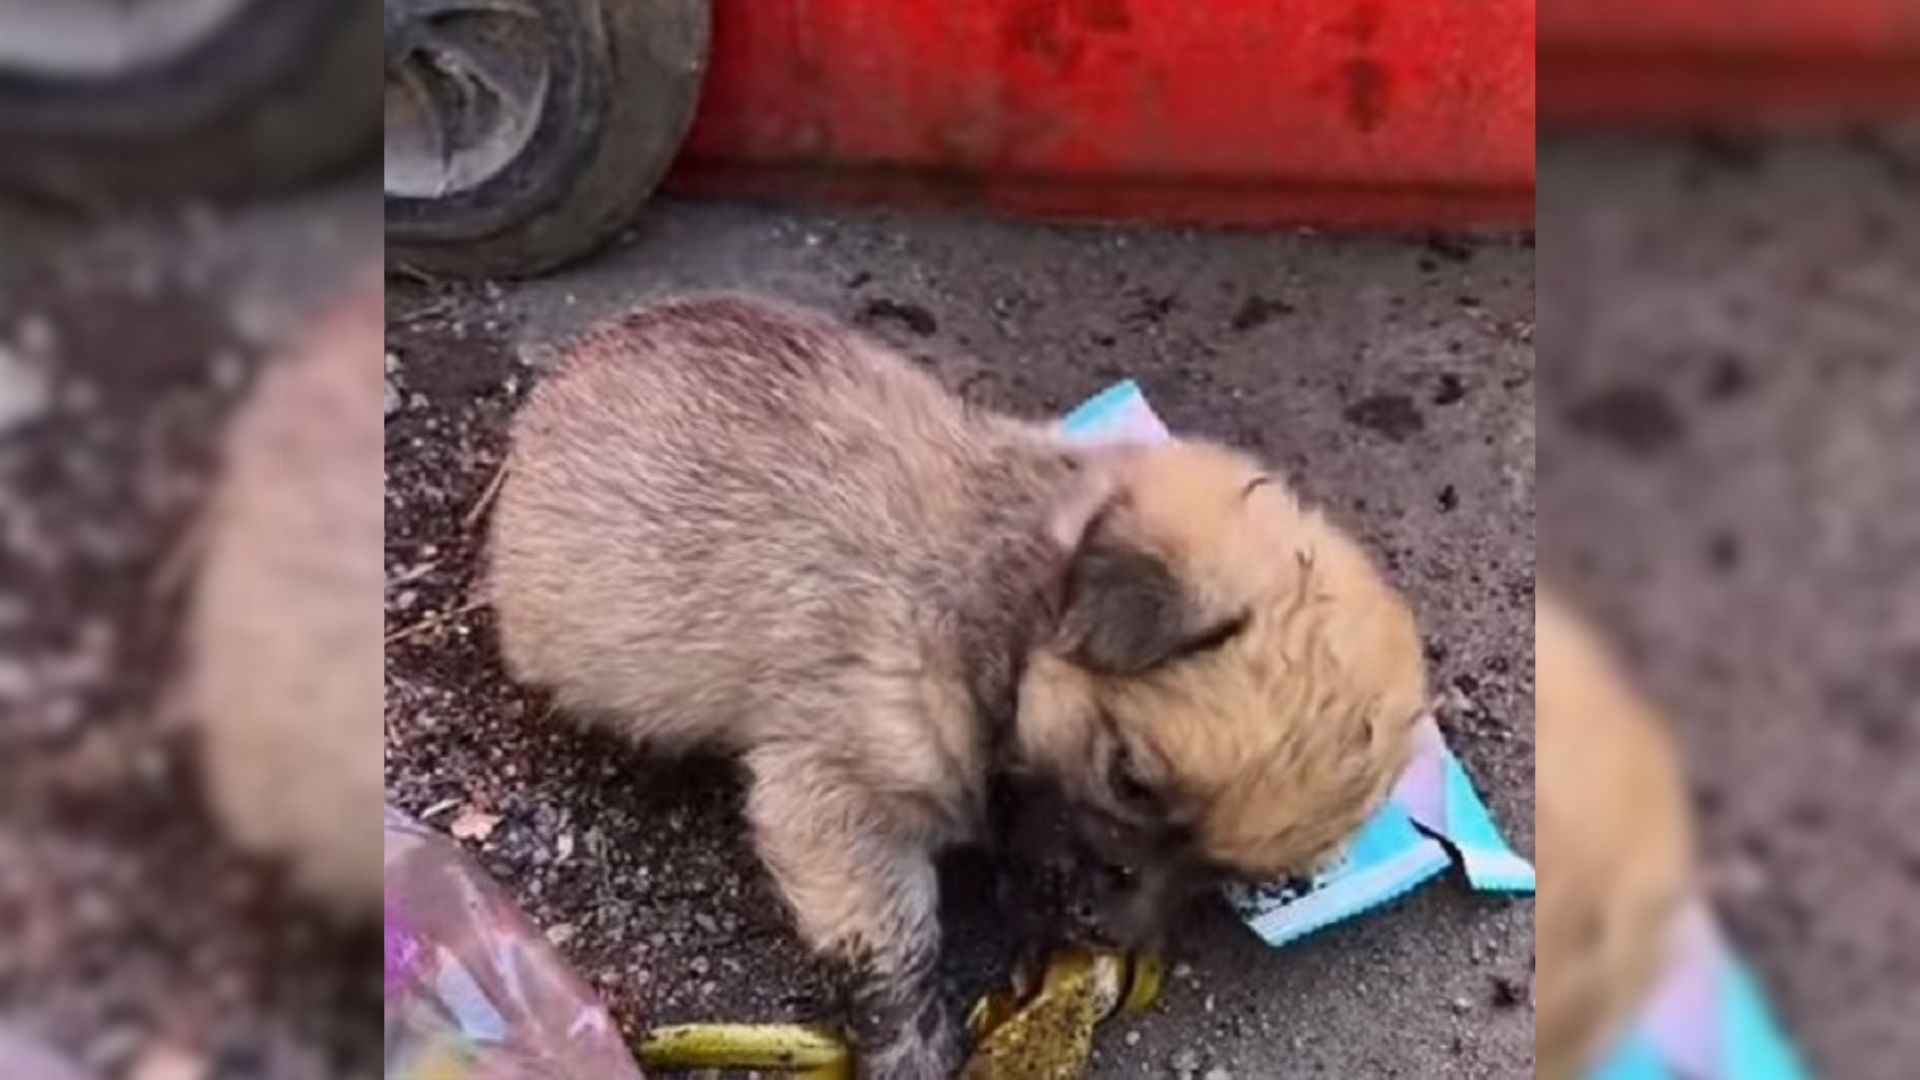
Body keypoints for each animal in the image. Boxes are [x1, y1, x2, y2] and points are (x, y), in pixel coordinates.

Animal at [495, 295, 1428, 1076]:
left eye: (1223, 879)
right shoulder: (839, 802)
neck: (999, 596)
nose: (1099, 929)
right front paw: (909, 1044)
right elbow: (894, 942)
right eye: (1130, 779)